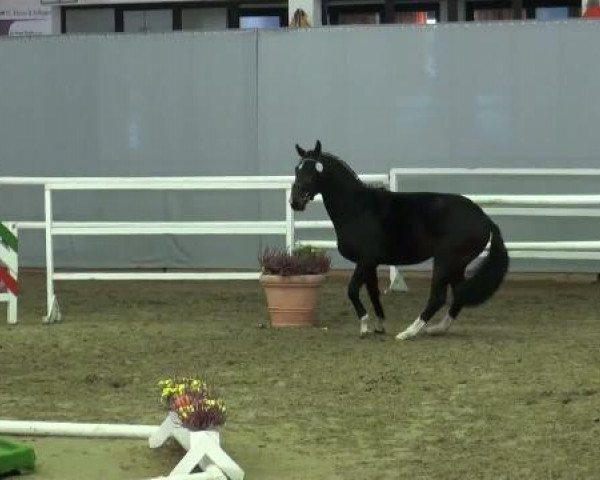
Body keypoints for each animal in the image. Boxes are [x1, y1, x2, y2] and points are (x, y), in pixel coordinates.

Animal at [288, 141, 508, 340]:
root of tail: (485, 219)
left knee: (438, 298)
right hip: (457, 265)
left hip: (446, 261)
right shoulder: (370, 264)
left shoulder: (365, 260)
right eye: (297, 169)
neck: (359, 209)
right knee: (460, 295)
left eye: (312, 170)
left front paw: (364, 326)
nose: (295, 202)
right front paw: (379, 326)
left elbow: (352, 290)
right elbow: (373, 292)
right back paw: (437, 329)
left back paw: (408, 332)